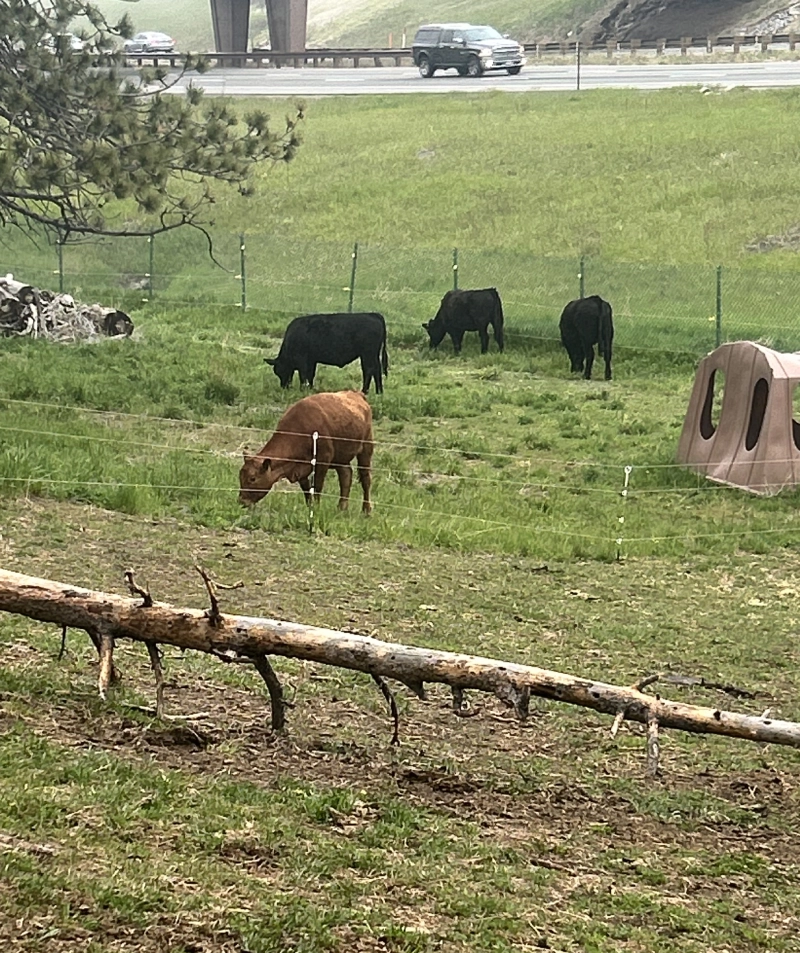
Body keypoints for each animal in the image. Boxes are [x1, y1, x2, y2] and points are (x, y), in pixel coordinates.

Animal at [239, 390, 374, 514]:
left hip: (366, 448)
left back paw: (366, 510)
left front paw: (316, 509)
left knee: (365, 479)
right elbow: (307, 490)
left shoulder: (322, 461)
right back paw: (342, 508)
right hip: (341, 458)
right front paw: (310, 508)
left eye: (252, 478)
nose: (242, 501)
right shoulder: (299, 470)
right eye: (240, 477)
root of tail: (357, 394)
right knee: (346, 476)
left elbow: (317, 487)